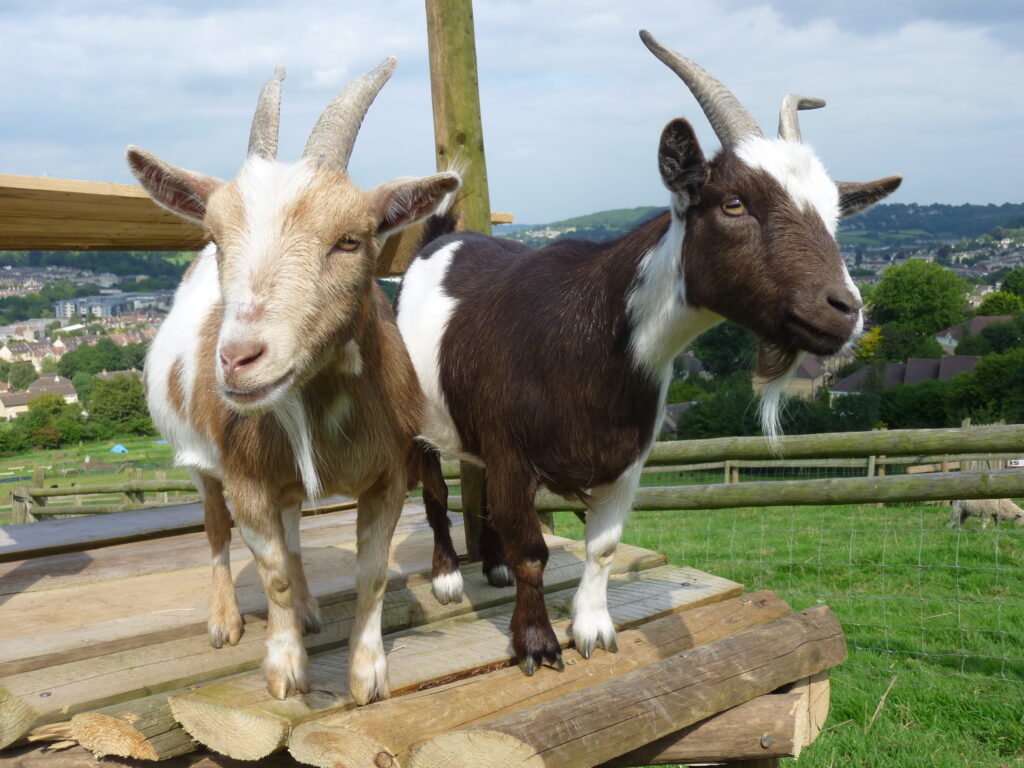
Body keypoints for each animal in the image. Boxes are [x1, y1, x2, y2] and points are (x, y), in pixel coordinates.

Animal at [130, 60, 460, 702]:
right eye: (216, 238)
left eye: (350, 239)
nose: (238, 359)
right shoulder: (245, 477)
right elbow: (273, 572)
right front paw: (285, 670)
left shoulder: (389, 474)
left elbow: (370, 573)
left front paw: (367, 675)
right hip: (199, 460)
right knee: (216, 532)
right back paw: (225, 621)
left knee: (292, 528)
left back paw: (308, 611)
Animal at [396, 31, 901, 674]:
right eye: (733, 203)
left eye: (836, 215)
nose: (846, 309)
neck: (583, 337)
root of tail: (438, 239)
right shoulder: (513, 451)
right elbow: (534, 549)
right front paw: (535, 643)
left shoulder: (626, 463)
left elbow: (604, 547)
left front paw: (593, 630)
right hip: (414, 418)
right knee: (436, 493)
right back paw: (447, 579)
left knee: (475, 486)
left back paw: (493, 567)